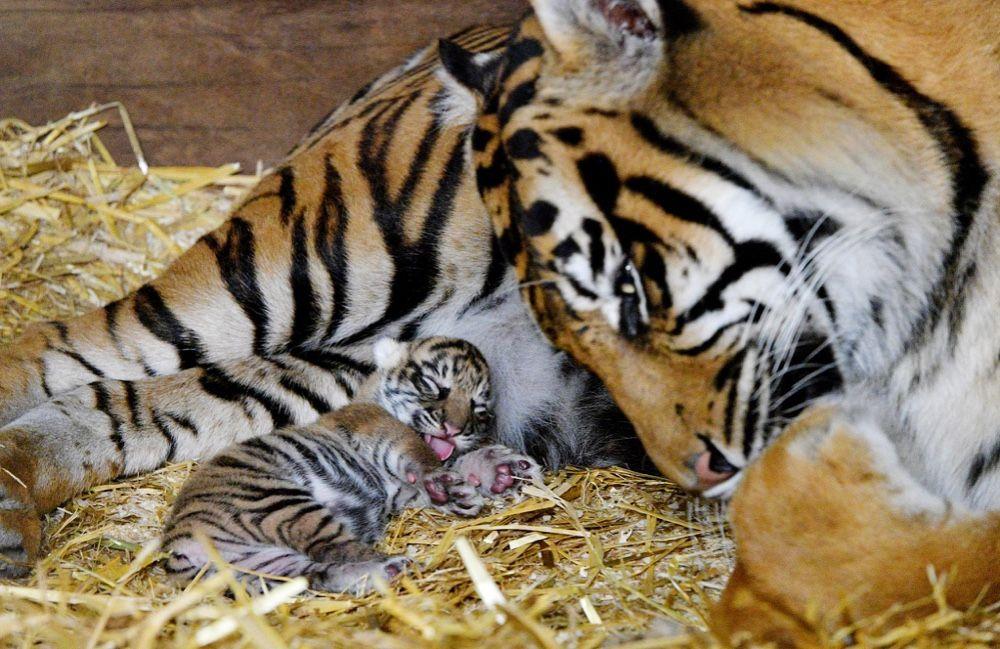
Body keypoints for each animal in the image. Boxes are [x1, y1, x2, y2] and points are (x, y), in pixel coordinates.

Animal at [161, 336, 540, 595]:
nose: (454, 429)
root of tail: (178, 544)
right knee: (335, 546)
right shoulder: (382, 430)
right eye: (433, 385)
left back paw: (386, 571)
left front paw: (500, 472)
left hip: (264, 565)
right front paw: (455, 483)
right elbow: (423, 453)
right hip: (278, 503)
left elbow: (452, 463)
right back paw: (390, 562)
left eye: (479, 408)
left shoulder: (405, 492)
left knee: (318, 572)